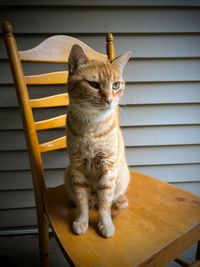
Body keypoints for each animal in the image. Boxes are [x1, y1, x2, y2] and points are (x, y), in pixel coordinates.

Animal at [65, 44, 132, 239]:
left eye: (116, 85)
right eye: (94, 85)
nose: (109, 100)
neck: (91, 126)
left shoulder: (107, 168)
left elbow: (104, 203)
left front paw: (105, 224)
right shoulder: (77, 167)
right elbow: (81, 200)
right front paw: (82, 221)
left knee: (108, 200)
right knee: (85, 200)